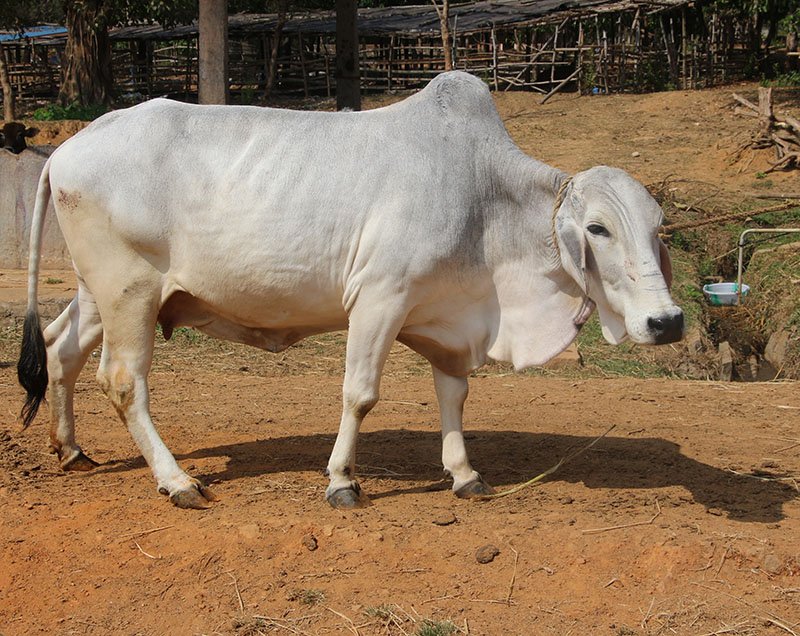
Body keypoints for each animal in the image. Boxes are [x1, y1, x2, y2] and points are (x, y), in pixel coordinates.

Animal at [18, 72, 680, 510]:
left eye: (657, 227)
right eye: (597, 228)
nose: (667, 321)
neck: (486, 202)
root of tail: (68, 147)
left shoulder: (444, 318)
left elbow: (454, 395)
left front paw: (464, 474)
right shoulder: (380, 298)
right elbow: (360, 395)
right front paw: (342, 481)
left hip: (101, 293)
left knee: (59, 348)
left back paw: (70, 449)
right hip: (127, 290)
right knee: (123, 381)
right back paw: (177, 480)